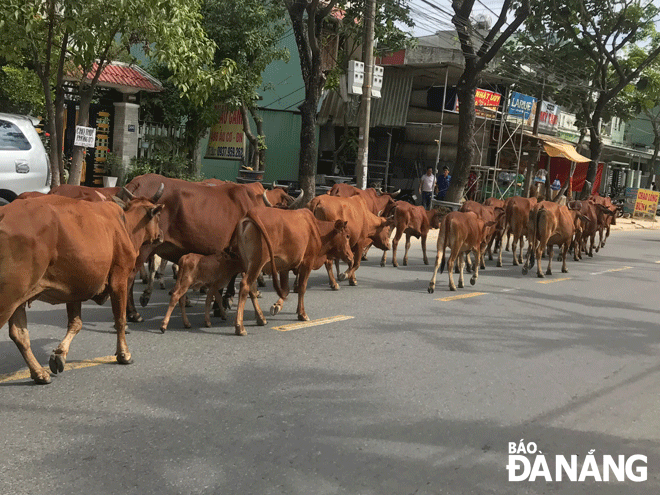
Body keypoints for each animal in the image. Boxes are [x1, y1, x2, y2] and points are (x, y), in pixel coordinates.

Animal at [0, 188, 164, 386]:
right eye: (158, 215)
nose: (161, 235)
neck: (125, 227)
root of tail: (3, 213)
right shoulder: (120, 279)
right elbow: (120, 319)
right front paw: (124, 354)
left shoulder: (75, 289)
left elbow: (76, 324)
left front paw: (59, 355)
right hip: (8, 297)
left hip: (18, 299)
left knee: (20, 335)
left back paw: (39, 373)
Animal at [233, 205, 354, 338]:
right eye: (347, 236)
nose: (351, 256)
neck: (317, 230)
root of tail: (251, 213)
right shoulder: (307, 262)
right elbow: (302, 287)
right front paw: (302, 314)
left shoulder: (284, 267)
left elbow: (285, 290)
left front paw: (277, 306)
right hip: (257, 263)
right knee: (245, 285)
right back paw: (240, 326)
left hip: (247, 265)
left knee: (252, 289)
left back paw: (260, 318)